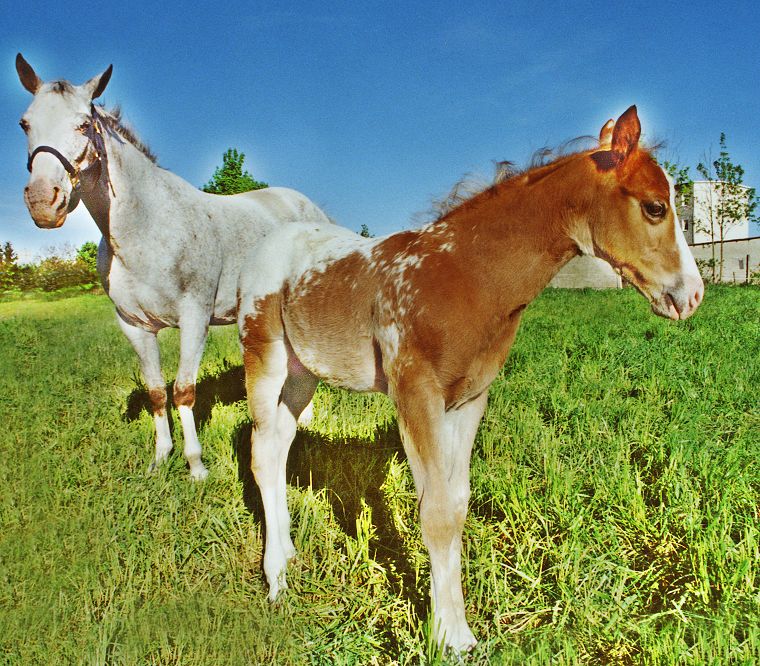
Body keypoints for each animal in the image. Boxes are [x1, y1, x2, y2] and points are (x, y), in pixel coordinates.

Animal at [16, 53, 332, 478]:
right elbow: (156, 392)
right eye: (25, 122)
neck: (145, 229)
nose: (42, 202)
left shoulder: (194, 318)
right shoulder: (133, 325)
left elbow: (183, 391)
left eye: (83, 123)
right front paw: (160, 458)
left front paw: (196, 466)